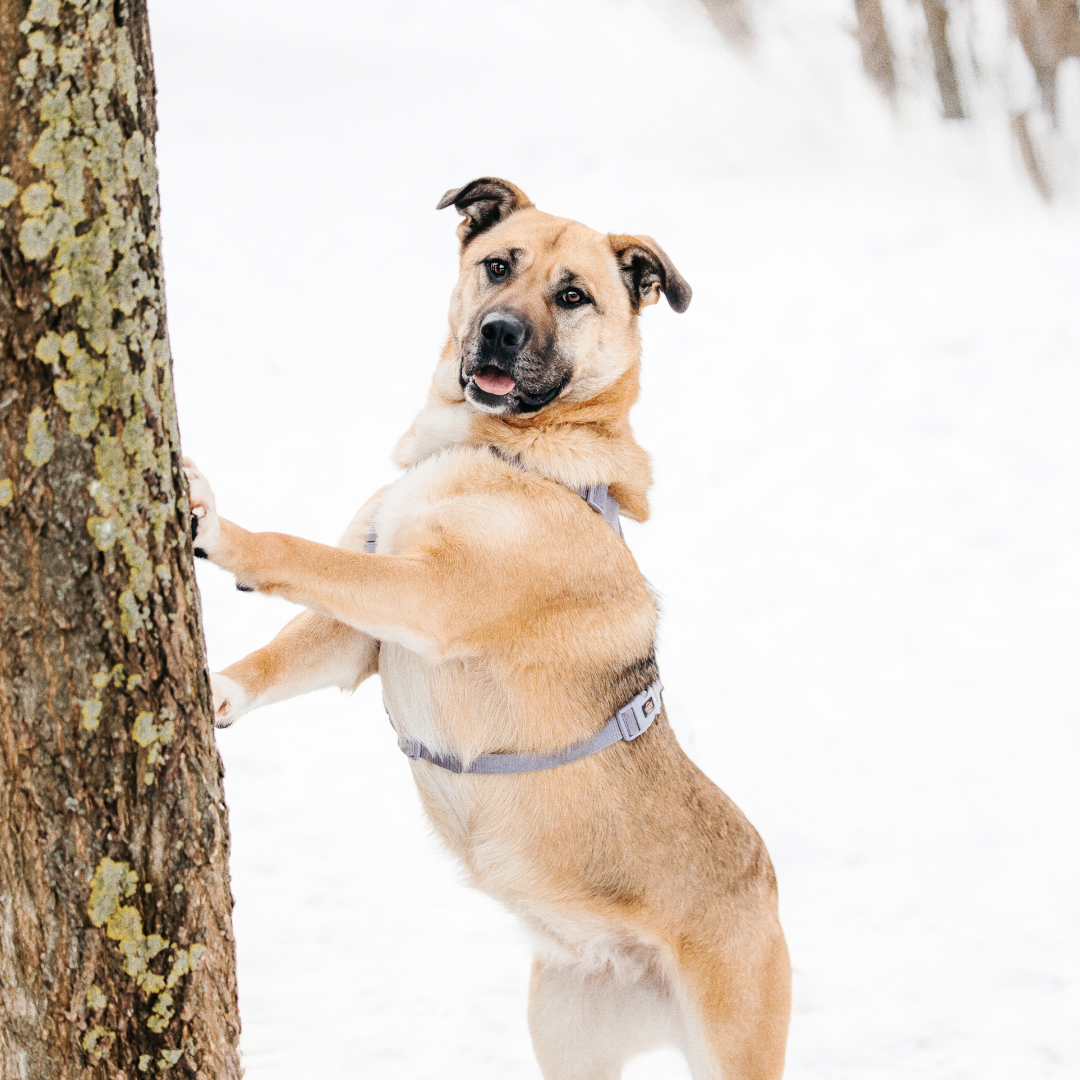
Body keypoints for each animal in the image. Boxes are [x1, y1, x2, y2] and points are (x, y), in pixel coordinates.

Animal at [187, 179, 794, 1080]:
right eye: (498, 266)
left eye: (573, 296)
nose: (498, 331)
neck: (501, 450)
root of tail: (768, 881)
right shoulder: (366, 631)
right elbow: (294, 642)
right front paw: (219, 689)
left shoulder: (429, 597)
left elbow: (295, 554)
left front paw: (220, 531)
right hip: (563, 1038)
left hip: (731, 1046)